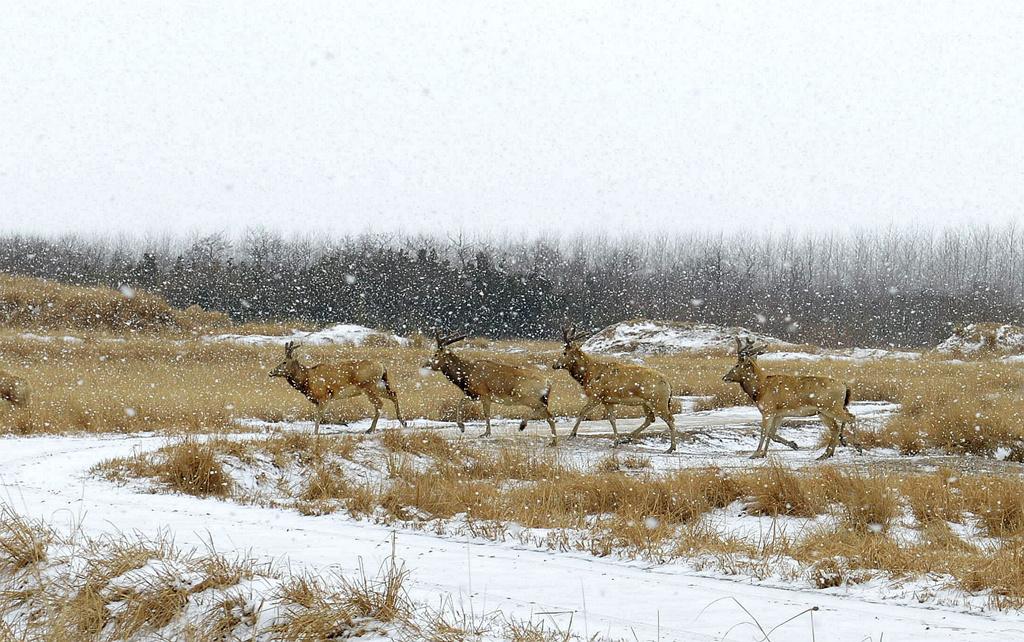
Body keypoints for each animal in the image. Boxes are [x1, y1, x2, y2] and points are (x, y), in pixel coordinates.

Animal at [270, 341, 405, 436]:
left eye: (284, 362)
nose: (271, 372)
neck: (307, 380)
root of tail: (382, 366)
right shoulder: (319, 399)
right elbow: (324, 415)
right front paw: (343, 423)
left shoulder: (324, 394)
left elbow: (319, 415)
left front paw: (315, 432)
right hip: (379, 385)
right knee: (393, 394)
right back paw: (403, 422)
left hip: (369, 386)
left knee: (380, 404)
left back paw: (370, 429)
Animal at [419, 333, 557, 444]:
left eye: (436, 354)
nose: (425, 364)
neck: (466, 375)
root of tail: (548, 383)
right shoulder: (473, 394)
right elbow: (460, 402)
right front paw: (462, 427)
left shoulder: (484, 393)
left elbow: (486, 413)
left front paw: (486, 433)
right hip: (533, 397)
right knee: (548, 414)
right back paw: (552, 441)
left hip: (525, 396)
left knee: (543, 410)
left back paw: (523, 425)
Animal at [552, 325, 688, 452]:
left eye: (564, 353)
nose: (554, 365)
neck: (589, 375)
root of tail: (668, 383)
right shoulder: (607, 400)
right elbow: (612, 419)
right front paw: (615, 442)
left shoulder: (596, 395)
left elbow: (582, 412)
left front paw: (572, 434)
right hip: (646, 402)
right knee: (650, 418)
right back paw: (627, 438)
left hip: (658, 400)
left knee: (670, 419)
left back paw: (671, 447)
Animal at [724, 339, 860, 458]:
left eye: (737, 365)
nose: (724, 377)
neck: (760, 389)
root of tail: (844, 385)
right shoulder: (779, 413)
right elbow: (771, 433)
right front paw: (789, 446)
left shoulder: (768, 410)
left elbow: (763, 432)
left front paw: (756, 454)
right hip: (825, 411)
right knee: (836, 427)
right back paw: (827, 453)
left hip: (831, 406)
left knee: (850, 417)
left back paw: (856, 446)